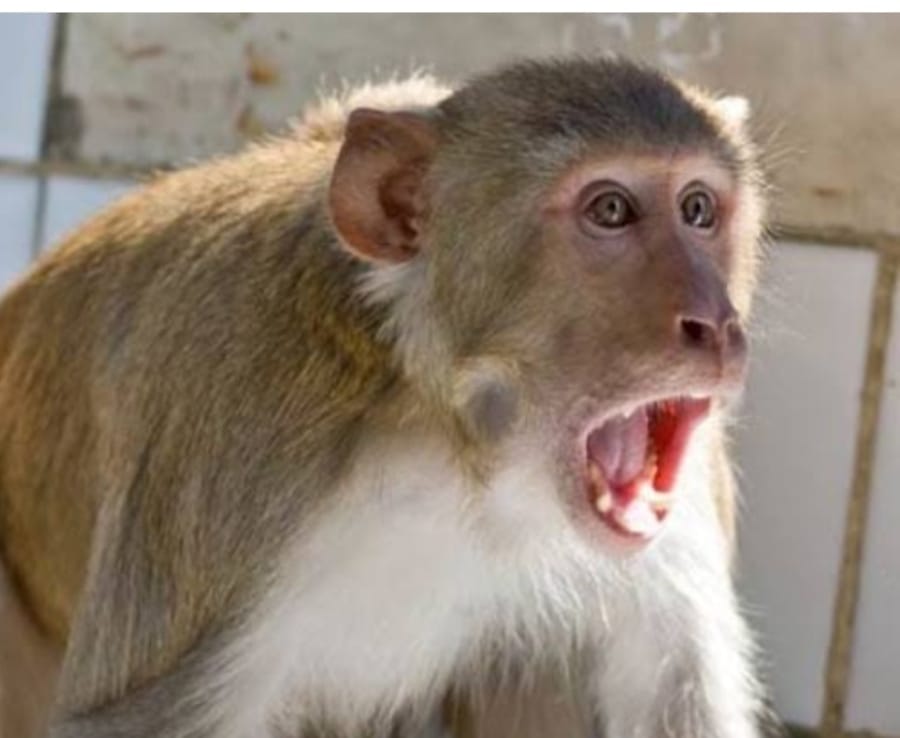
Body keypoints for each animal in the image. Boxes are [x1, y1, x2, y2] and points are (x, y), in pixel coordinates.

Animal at [0, 57, 769, 738]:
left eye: (698, 209)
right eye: (611, 209)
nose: (714, 321)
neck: (464, 442)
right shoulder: (235, 435)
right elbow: (131, 718)